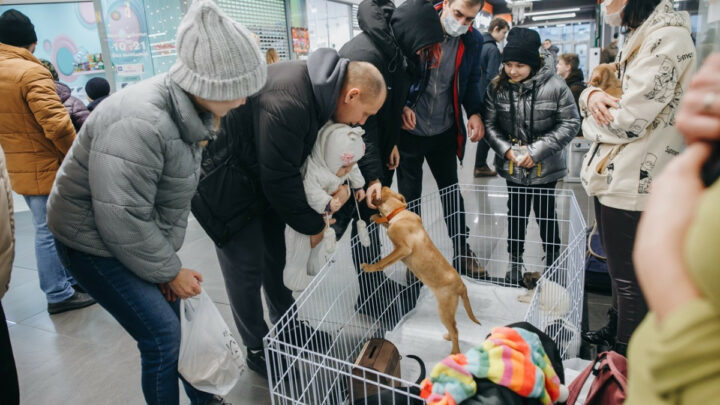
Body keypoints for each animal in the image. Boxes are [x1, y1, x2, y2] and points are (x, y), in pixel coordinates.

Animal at [358, 186, 478, 354]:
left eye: (378, 189)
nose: (371, 186)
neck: (399, 213)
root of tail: (462, 285)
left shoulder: (403, 248)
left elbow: (384, 261)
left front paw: (370, 267)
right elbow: (385, 222)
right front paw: (376, 217)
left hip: (444, 309)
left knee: (455, 330)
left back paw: (454, 352)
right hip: (448, 310)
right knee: (454, 327)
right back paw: (448, 337)